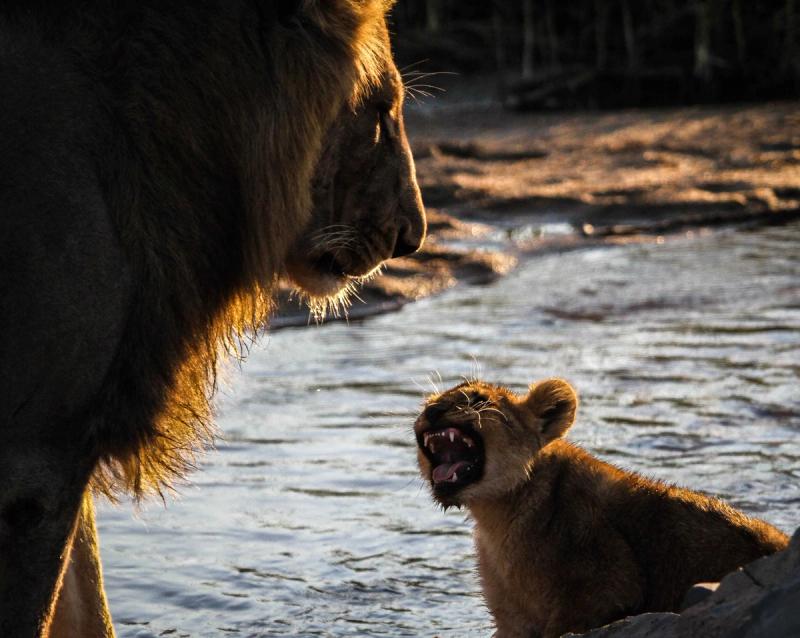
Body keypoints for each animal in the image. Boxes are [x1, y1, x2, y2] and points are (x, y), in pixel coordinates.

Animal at [414, 378, 788, 638]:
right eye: (429, 403)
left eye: (477, 399)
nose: (431, 411)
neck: (498, 517)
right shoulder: (513, 619)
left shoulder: (606, 583)